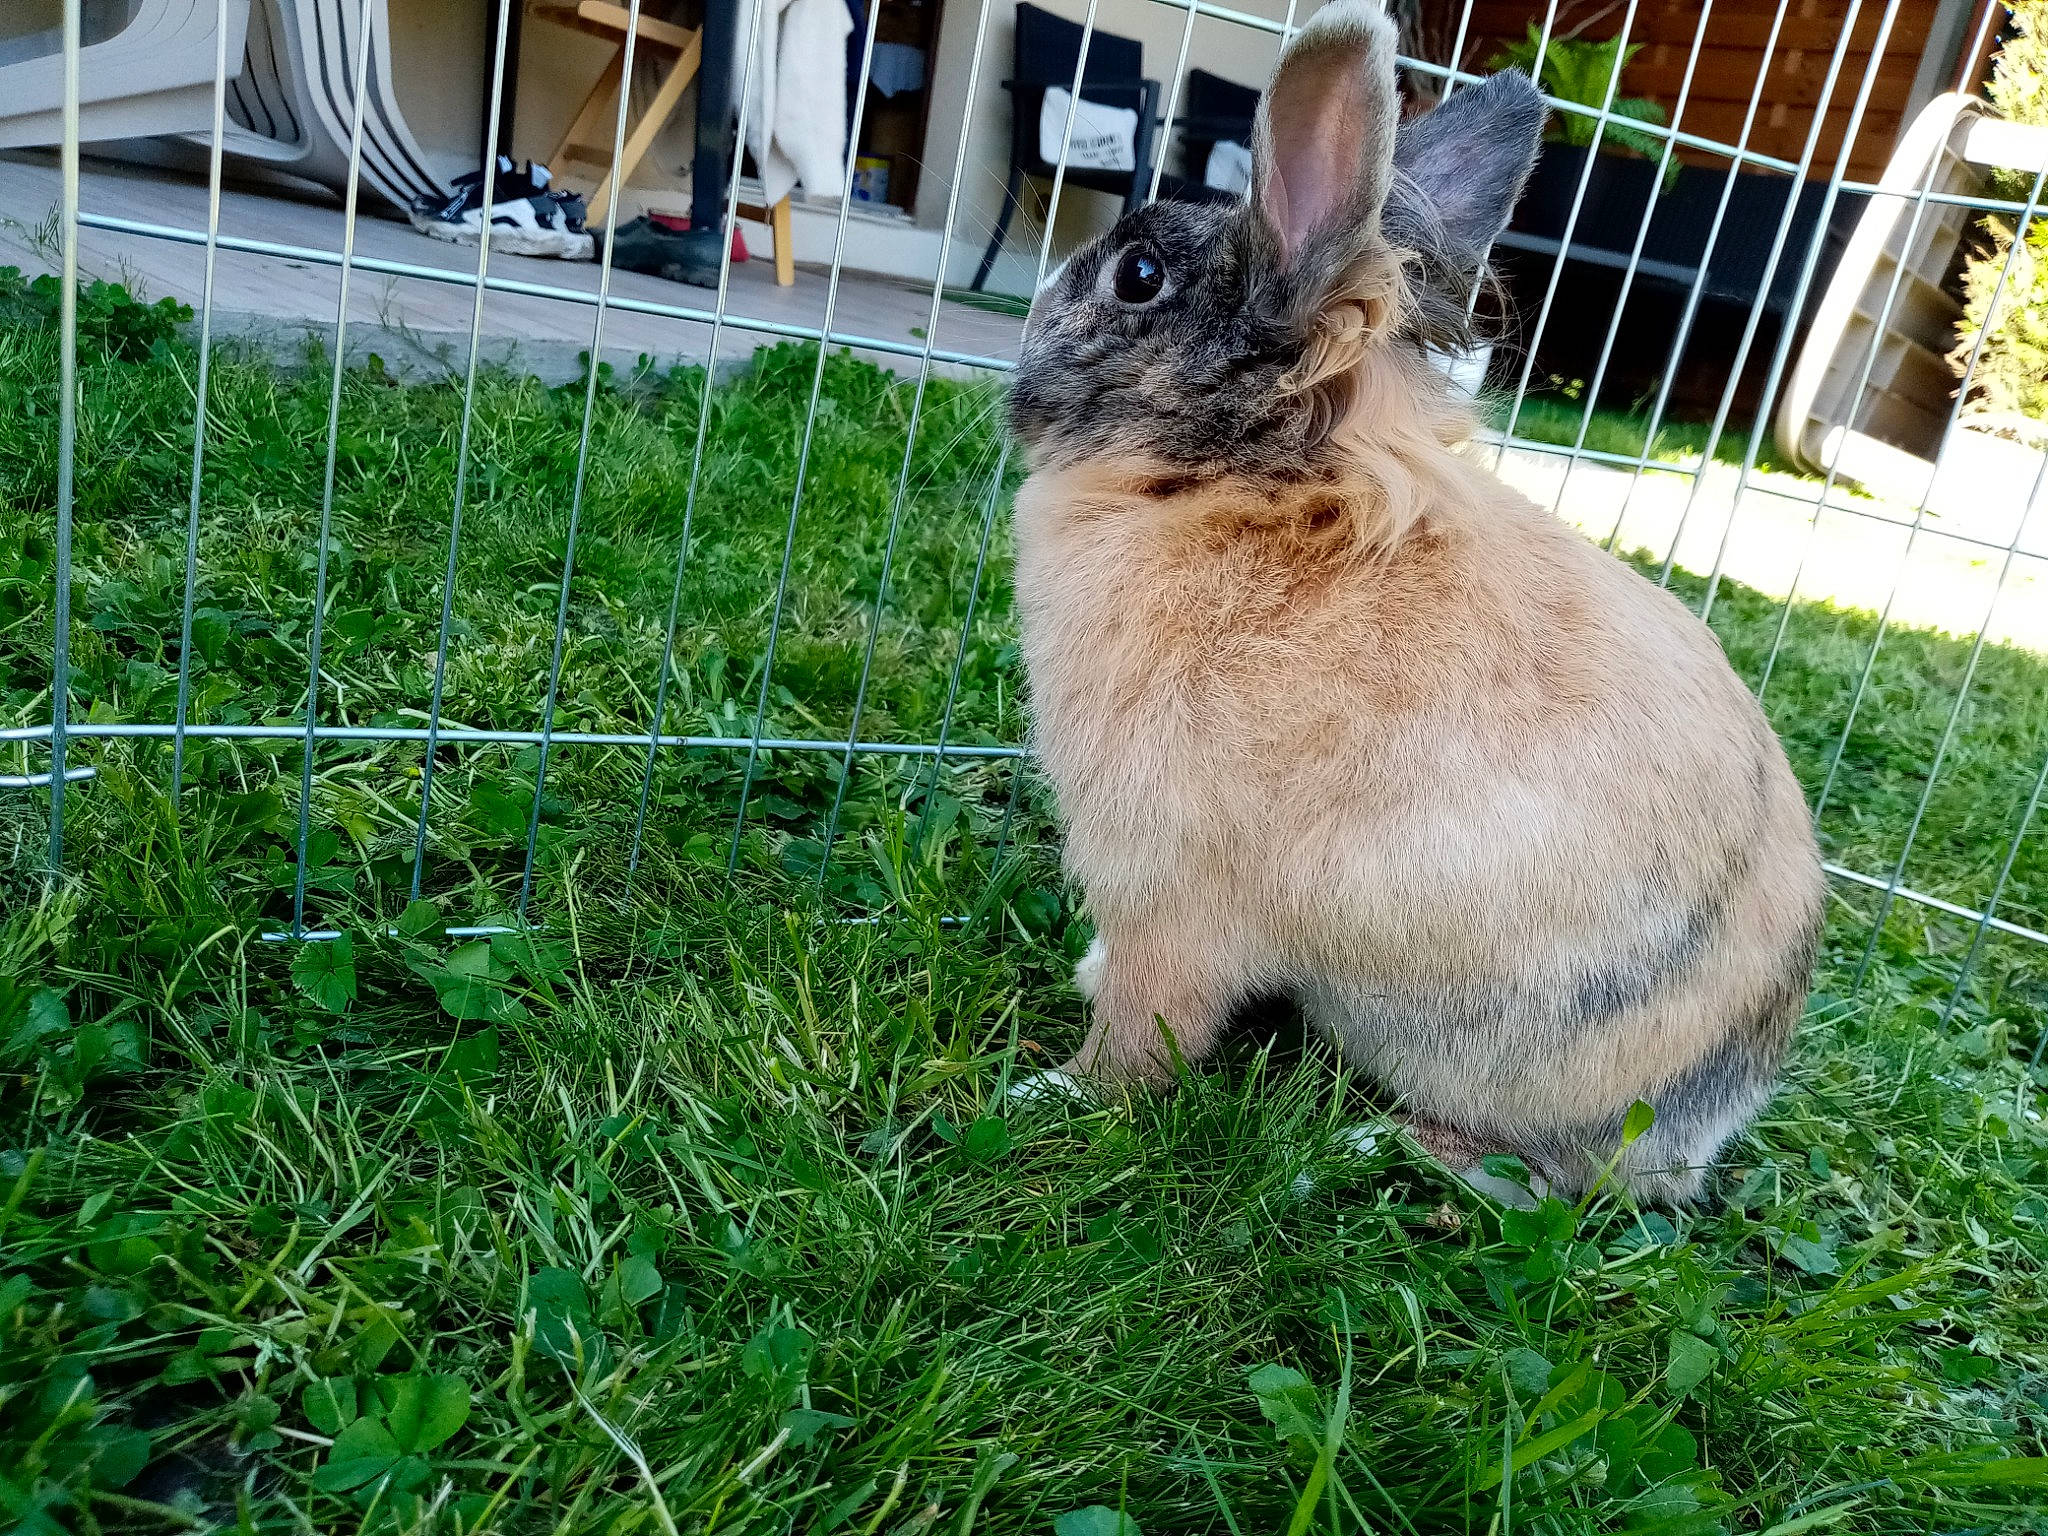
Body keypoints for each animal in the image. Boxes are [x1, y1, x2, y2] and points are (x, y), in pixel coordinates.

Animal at [1004, 0, 1825, 1206]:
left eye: (1139, 275)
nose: (1037, 303)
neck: (1249, 487)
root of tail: (1711, 1113)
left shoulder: (1169, 894)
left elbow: (1146, 1028)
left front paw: (1056, 1094)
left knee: (1545, 1180)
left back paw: (1386, 1145)